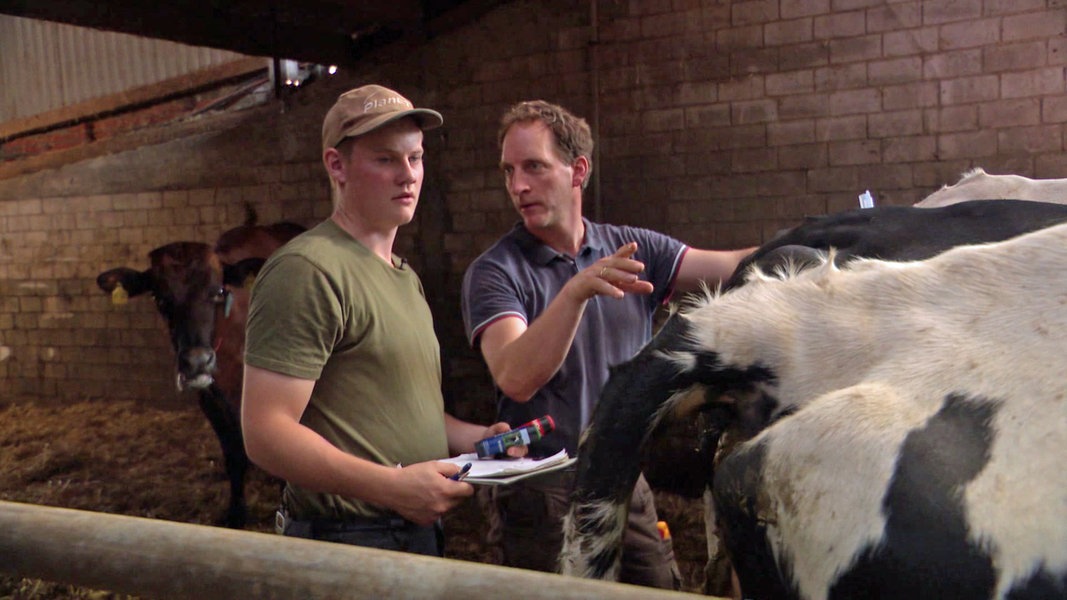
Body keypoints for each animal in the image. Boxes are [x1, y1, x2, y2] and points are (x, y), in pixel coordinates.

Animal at [97, 208, 305, 525]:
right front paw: (236, 516)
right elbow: (234, 456)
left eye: (218, 291)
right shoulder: (210, 400)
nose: (196, 361)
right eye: (159, 297)